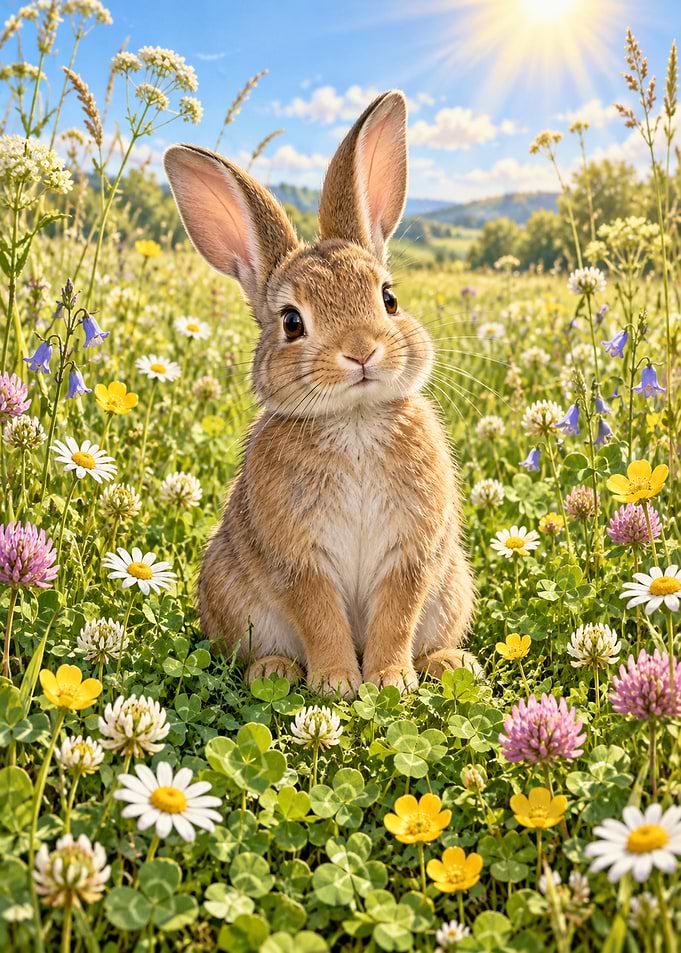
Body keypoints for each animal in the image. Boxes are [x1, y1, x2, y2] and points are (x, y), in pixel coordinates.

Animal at [164, 90, 478, 697]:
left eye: (388, 299)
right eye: (291, 322)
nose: (361, 352)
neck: (353, 421)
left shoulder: (411, 554)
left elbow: (396, 615)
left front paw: (389, 680)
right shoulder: (299, 560)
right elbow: (319, 617)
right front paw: (337, 683)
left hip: (452, 584)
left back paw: (450, 664)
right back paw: (275, 671)